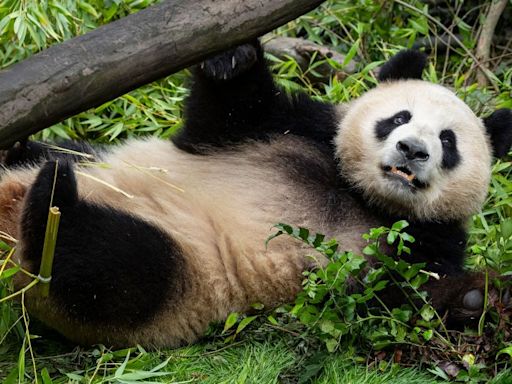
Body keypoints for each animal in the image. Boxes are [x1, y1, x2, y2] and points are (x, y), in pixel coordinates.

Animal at [3, 40, 512, 346]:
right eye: (399, 117)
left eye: (448, 141)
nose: (411, 150)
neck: (360, 194)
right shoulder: (293, 129)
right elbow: (225, 116)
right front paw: (232, 60)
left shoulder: (425, 241)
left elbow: (398, 300)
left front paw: (475, 298)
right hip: (95, 159)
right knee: (62, 162)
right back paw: (32, 162)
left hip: (182, 276)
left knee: (112, 263)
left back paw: (52, 204)